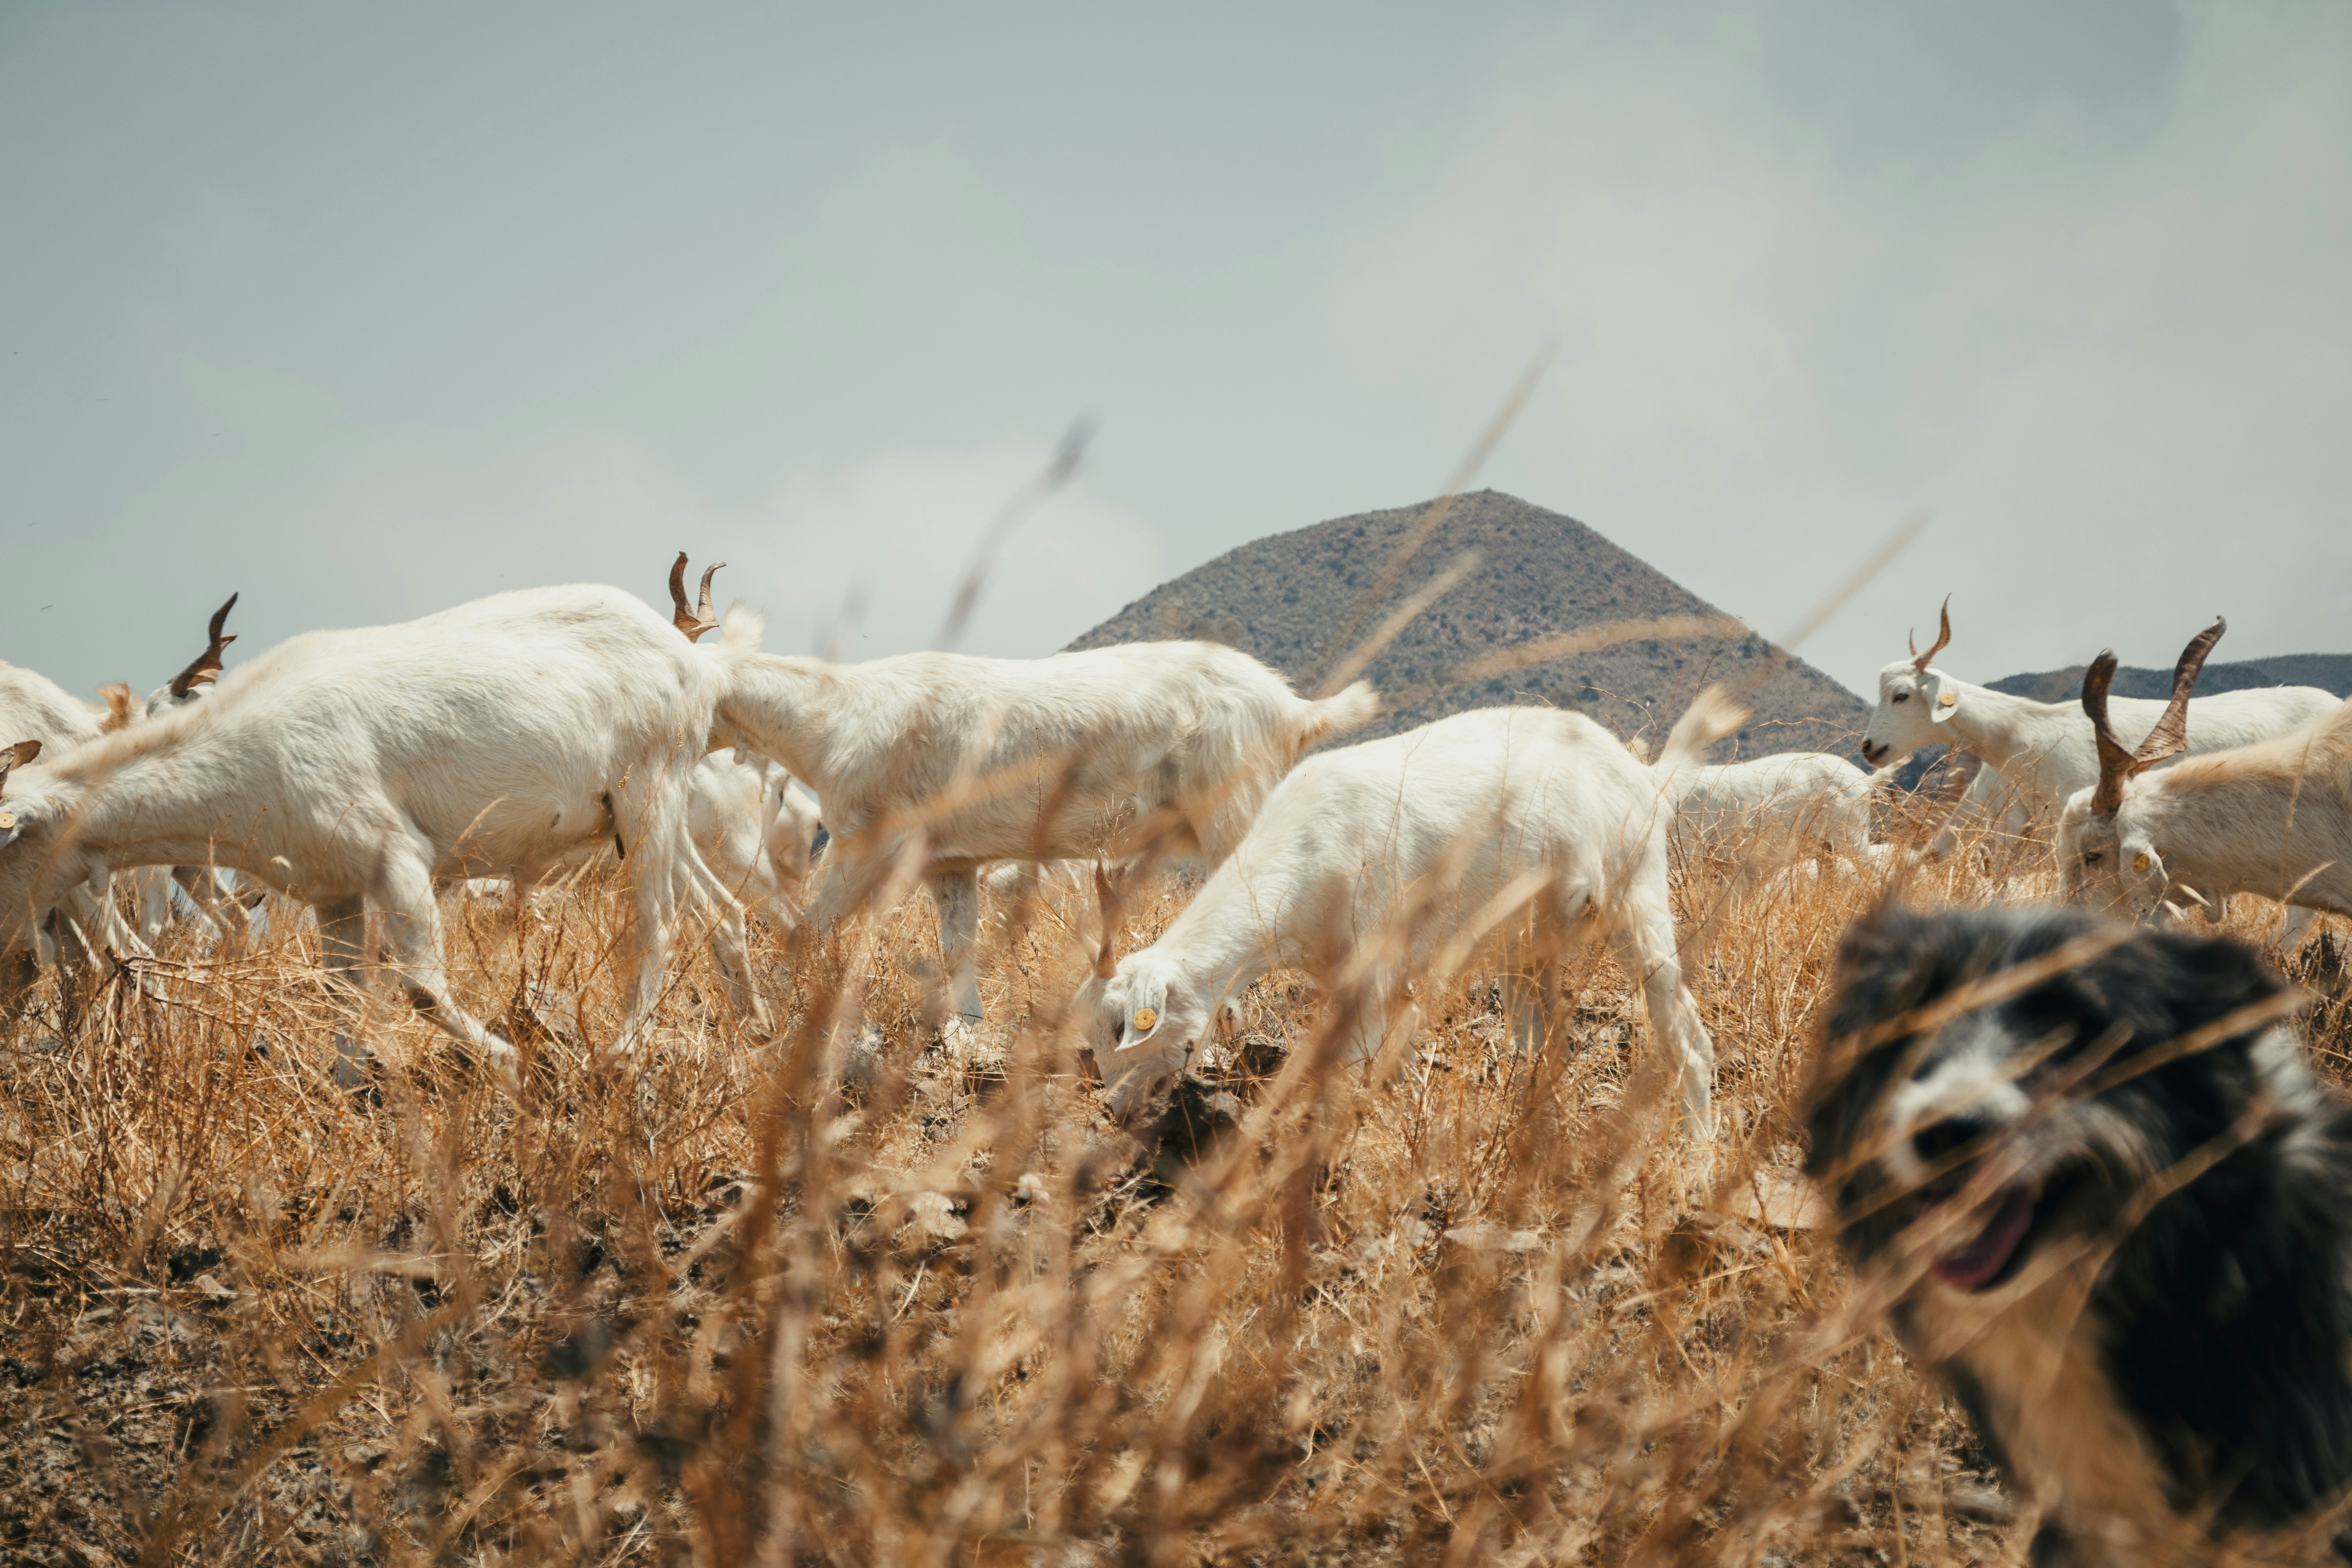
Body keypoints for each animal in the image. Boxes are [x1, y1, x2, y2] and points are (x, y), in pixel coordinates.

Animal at [0, 585, 768, 1076]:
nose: (12, 963)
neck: (241, 744)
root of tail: (695, 664)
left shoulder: (397, 859)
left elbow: (420, 987)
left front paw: (512, 1063)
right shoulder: (332, 891)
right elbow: (345, 994)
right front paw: (346, 1086)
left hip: (650, 789)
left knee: (656, 925)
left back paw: (622, 1053)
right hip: (640, 816)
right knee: (720, 911)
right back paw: (755, 1029)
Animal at [713, 627, 1380, 1028]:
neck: (832, 718)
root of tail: (1294, 709)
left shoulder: (865, 845)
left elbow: (806, 931)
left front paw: (766, 1017)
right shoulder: (949, 863)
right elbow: (958, 948)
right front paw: (967, 1030)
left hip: (1234, 813)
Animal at [1074, 691, 1746, 1131]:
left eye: (1126, 1025)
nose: (1119, 1109)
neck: (1309, 847)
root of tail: (1645, 776)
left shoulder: (1372, 973)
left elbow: (1349, 1079)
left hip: (1639, 899)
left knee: (1687, 1040)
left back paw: (1697, 1156)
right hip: (1529, 945)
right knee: (1544, 1049)